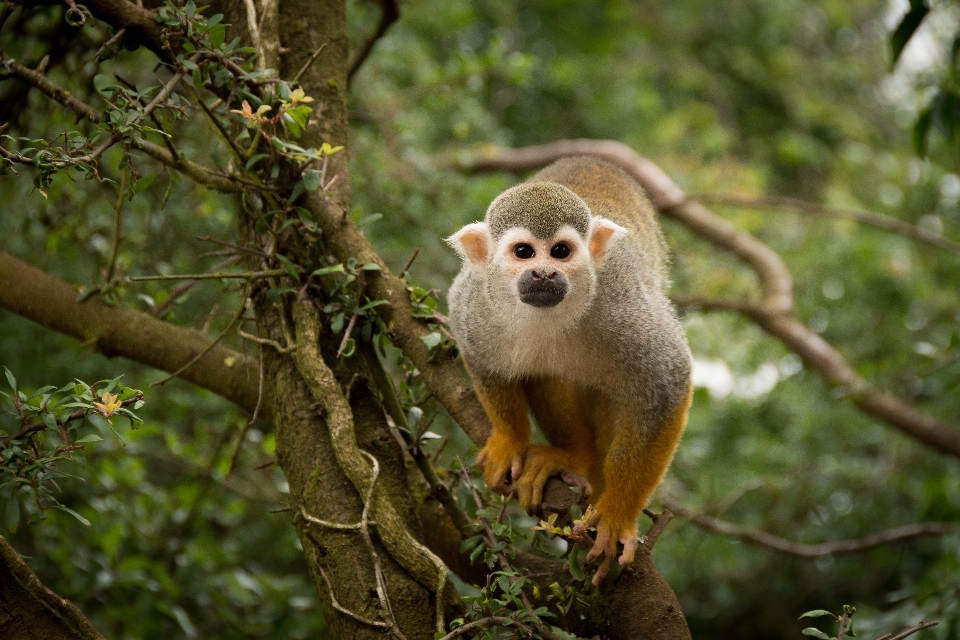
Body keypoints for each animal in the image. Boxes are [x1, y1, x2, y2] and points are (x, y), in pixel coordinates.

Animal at [446, 155, 692, 584]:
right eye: (524, 252)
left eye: (560, 251)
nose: (544, 273)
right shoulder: (475, 301)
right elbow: (479, 356)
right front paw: (510, 438)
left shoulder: (621, 303)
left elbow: (668, 386)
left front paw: (617, 516)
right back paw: (572, 455)